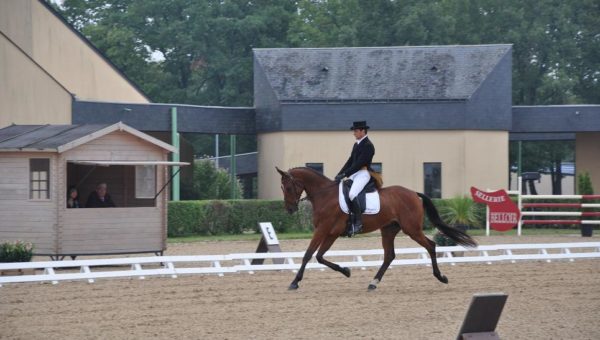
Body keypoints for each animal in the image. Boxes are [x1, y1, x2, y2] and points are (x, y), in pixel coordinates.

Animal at [276, 166, 478, 290]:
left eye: (288, 187)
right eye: (282, 188)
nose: (289, 209)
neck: (324, 195)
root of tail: (414, 193)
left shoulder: (323, 230)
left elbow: (309, 254)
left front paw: (294, 282)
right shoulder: (331, 233)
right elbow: (319, 256)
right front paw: (346, 271)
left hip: (412, 229)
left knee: (430, 246)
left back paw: (441, 277)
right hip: (388, 230)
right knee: (389, 256)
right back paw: (373, 282)